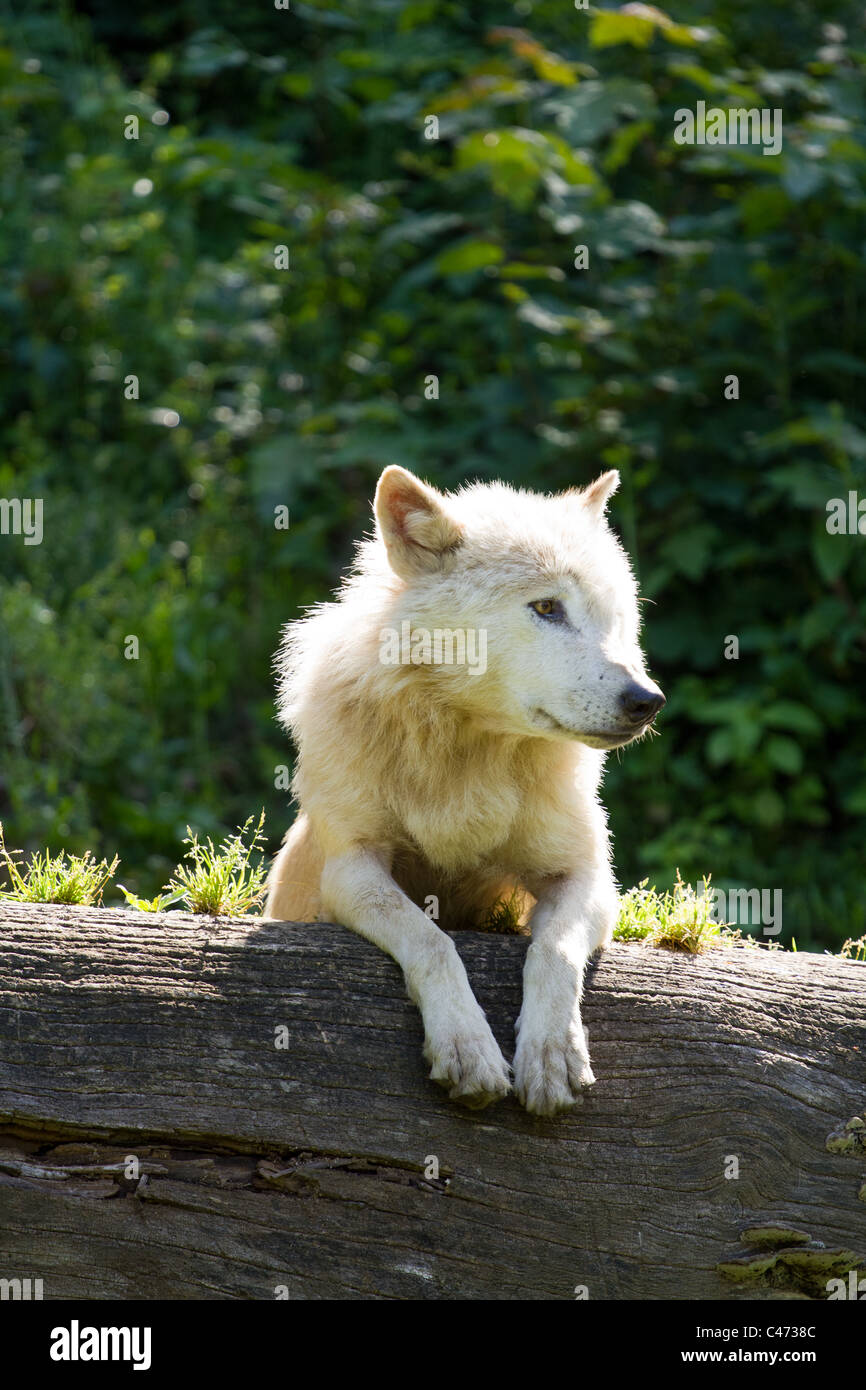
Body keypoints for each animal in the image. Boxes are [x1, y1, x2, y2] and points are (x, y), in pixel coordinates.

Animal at [264, 467, 664, 1117]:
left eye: (616, 618)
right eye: (547, 607)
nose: (647, 701)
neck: (468, 753)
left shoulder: (587, 876)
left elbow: (553, 952)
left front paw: (552, 1054)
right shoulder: (351, 867)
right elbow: (431, 941)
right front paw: (467, 1048)